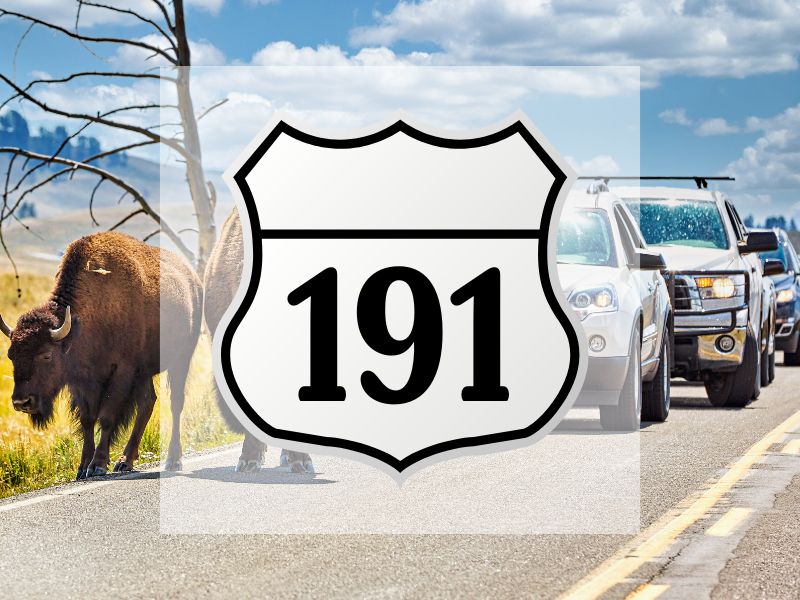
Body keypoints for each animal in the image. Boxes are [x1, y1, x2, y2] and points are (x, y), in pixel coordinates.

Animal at [0, 232, 200, 480]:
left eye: (46, 355)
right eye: (11, 355)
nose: (22, 402)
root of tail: (193, 279)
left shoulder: (122, 371)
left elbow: (106, 416)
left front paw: (98, 465)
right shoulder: (81, 381)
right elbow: (87, 419)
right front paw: (82, 467)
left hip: (181, 360)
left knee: (175, 403)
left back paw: (173, 460)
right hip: (144, 372)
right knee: (147, 403)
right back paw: (125, 461)